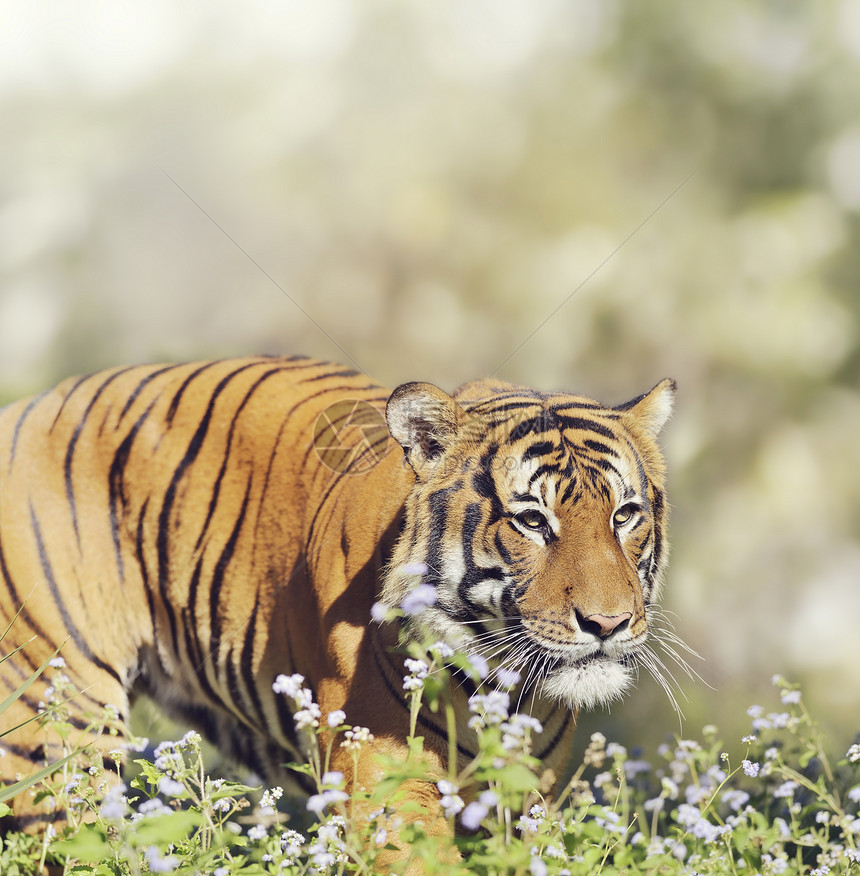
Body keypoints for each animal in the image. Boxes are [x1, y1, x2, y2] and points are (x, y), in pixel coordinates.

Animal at [0, 352, 676, 840]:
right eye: (532, 521)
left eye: (624, 515)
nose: (608, 623)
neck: (505, 693)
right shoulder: (384, 780)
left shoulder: (528, 798)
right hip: (59, 731)